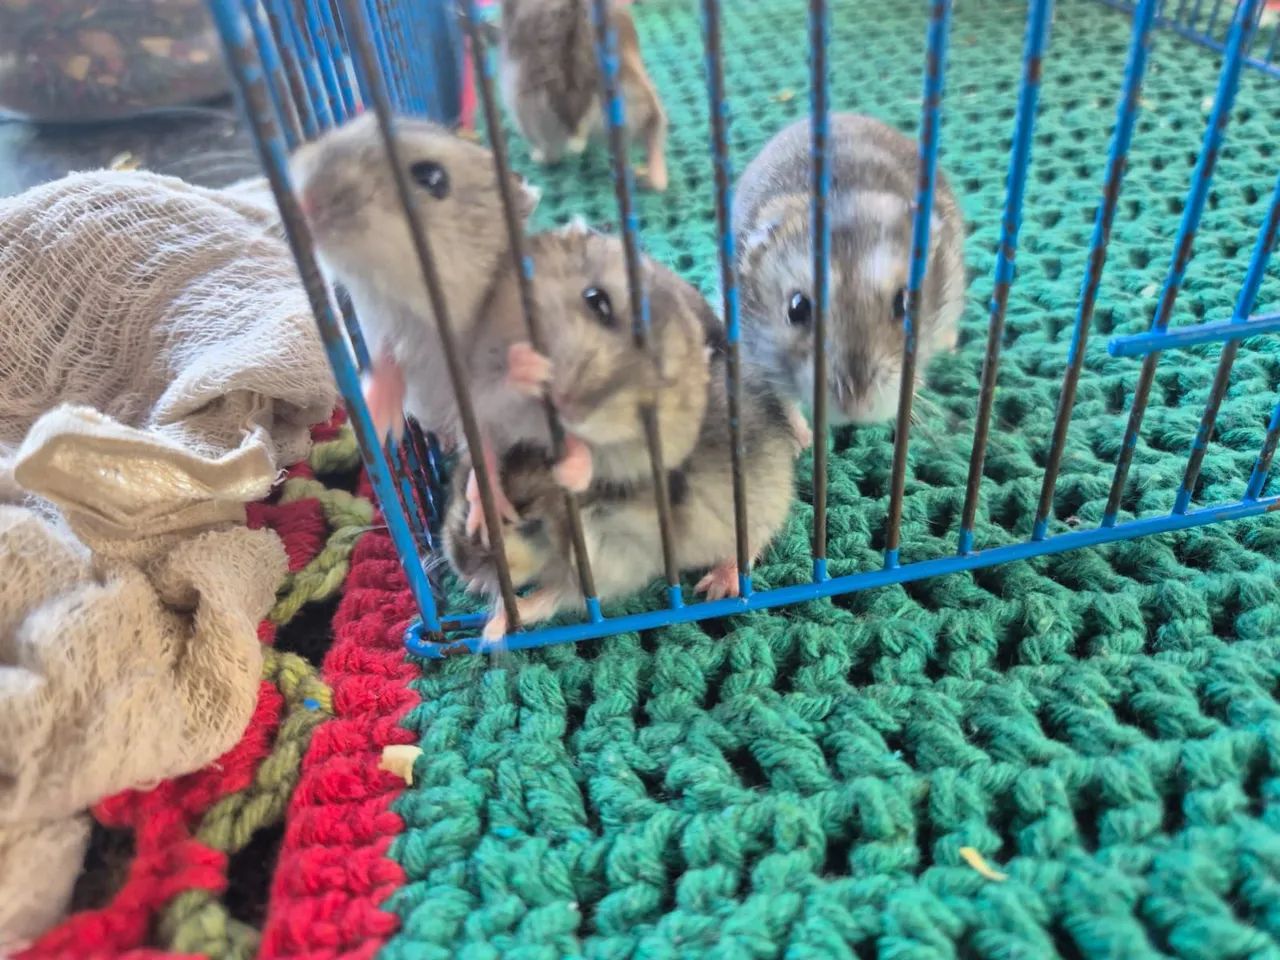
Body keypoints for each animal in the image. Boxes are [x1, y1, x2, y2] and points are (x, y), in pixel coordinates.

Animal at [289, 111, 541, 443]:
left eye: (431, 177)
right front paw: (379, 419)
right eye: (365, 120)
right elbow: (386, 361)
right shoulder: (385, 322)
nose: (302, 201)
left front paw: (529, 368)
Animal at [445, 298, 799, 642]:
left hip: (756, 508)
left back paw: (718, 586)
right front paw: (477, 586)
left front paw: (493, 629)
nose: (462, 568)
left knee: (753, 542)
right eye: (463, 491)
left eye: (527, 521)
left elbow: (552, 597)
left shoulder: (613, 564)